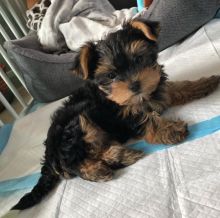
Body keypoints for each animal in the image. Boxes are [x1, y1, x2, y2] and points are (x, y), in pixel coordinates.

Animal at [12, 18, 220, 209]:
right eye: (111, 76)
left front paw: (204, 83)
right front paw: (169, 129)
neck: (139, 98)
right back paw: (108, 164)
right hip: (77, 126)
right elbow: (146, 120)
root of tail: (49, 155)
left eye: (138, 59)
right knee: (78, 165)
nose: (135, 85)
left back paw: (120, 154)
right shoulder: (124, 114)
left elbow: (176, 88)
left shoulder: (157, 91)